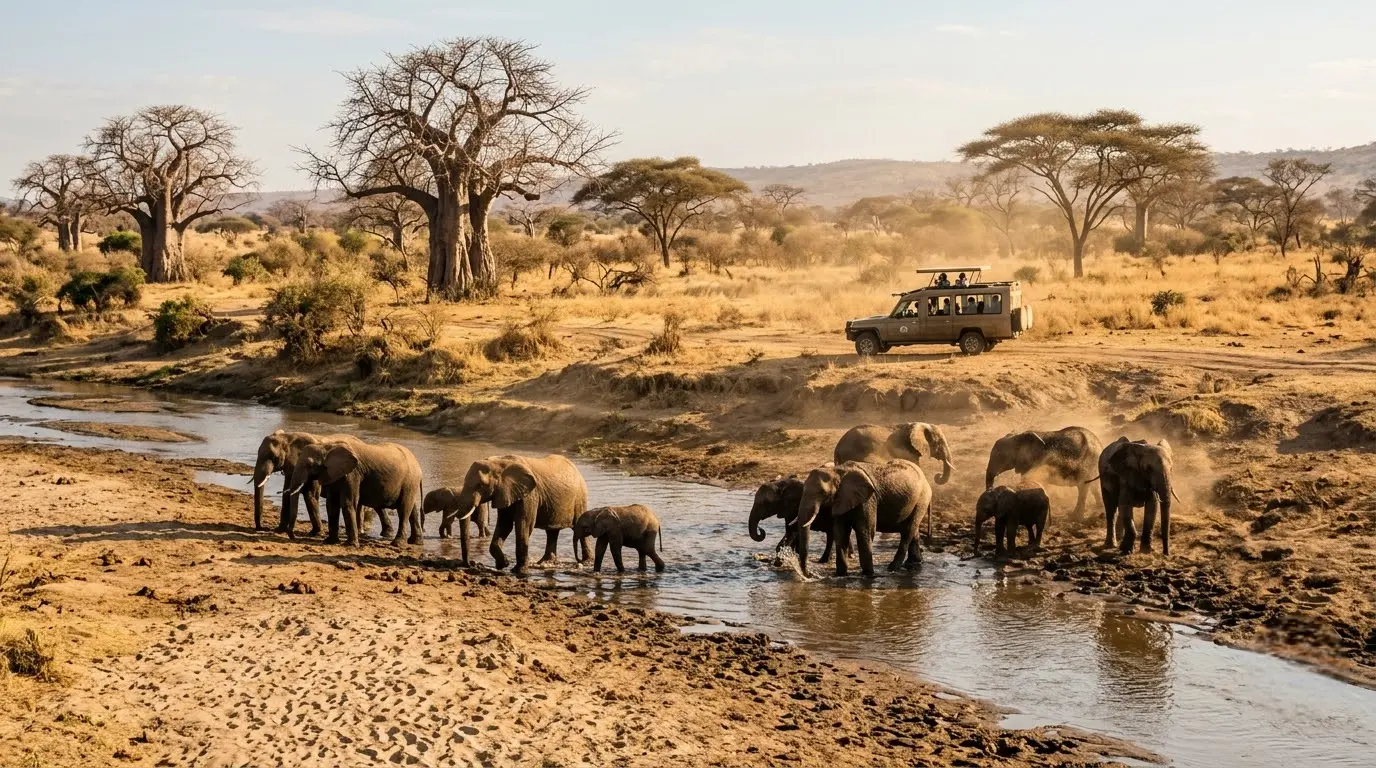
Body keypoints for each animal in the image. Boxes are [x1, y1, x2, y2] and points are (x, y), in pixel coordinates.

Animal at [284, 439, 424, 547]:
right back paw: (416, 542)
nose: (293, 537)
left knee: (404, 510)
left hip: (410, 481)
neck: (327, 446)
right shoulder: (334, 473)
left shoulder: (353, 474)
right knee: (412, 510)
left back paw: (397, 544)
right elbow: (332, 504)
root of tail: (418, 466)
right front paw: (330, 541)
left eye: (310, 465)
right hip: (410, 483)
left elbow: (348, 502)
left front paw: (350, 545)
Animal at [446, 454, 590, 575]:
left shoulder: (530, 495)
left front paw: (518, 571)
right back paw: (545, 562)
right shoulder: (504, 493)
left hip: (580, 498)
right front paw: (503, 564)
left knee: (579, 528)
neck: (499, 462)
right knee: (552, 532)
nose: (470, 565)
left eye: (481, 485)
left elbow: (524, 524)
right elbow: (505, 525)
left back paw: (586, 562)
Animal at [799, 460, 932, 578]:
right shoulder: (841, 499)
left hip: (922, 499)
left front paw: (868, 575)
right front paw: (840, 575)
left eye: (822, 492)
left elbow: (865, 531)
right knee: (912, 531)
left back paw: (892, 568)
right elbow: (841, 532)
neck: (837, 471)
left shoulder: (868, 499)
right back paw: (914, 563)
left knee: (908, 531)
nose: (809, 575)